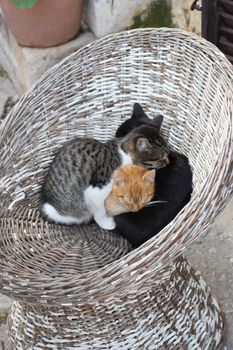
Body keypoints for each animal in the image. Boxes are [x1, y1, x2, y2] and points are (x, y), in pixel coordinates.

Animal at [39, 106, 167, 232]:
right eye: (161, 158)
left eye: (167, 153)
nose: (168, 162)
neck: (123, 153)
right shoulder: (96, 191)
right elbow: (98, 211)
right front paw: (107, 223)